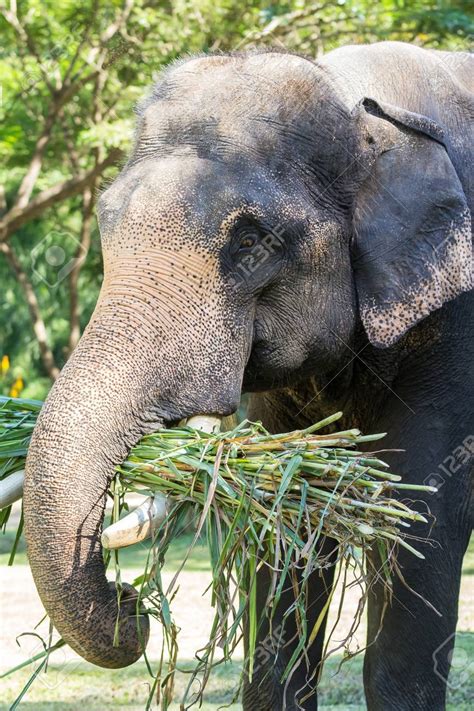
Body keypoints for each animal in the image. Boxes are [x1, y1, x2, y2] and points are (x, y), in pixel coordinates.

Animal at [16, 40, 472, 711]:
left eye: (252, 242)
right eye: (105, 222)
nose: (134, 605)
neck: (359, 106)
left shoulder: (456, 331)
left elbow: (420, 517)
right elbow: (289, 526)